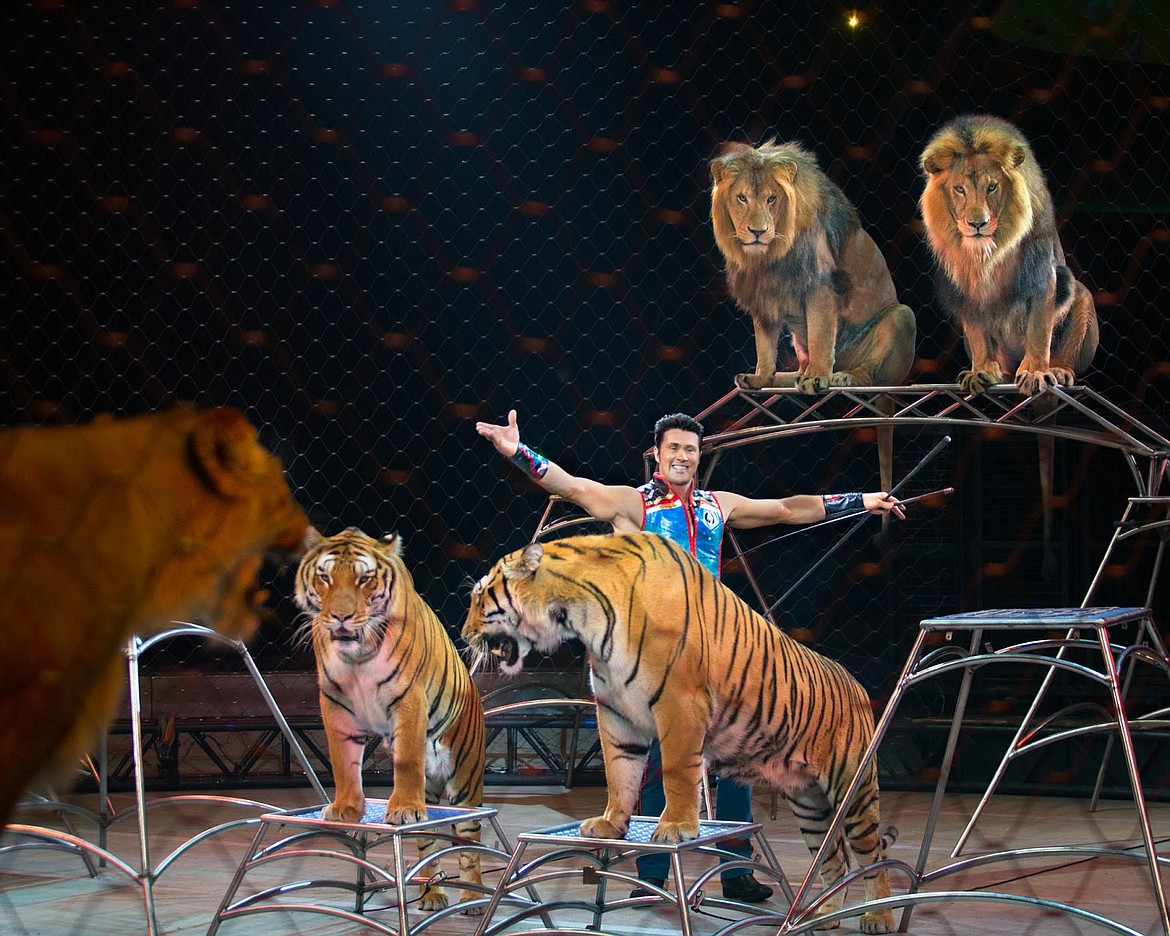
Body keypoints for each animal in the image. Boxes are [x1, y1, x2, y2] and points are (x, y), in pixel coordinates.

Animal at [299, 526, 491, 912]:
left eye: (364, 579)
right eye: (325, 577)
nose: (341, 616)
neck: (357, 657)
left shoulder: (409, 697)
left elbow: (407, 760)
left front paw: (402, 809)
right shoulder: (333, 701)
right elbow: (342, 761)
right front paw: (345, 808)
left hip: (465, 782)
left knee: (469, 843)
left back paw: (473, 896)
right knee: (427, 845)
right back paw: (431, 894)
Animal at [921, 114, 1095, 395]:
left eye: (992, 187)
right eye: (959, 189)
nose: (977, 223)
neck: (987, 252)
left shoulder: (1041, 274)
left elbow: (1038, 330)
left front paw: (1035, 372)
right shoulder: (966, 289)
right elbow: (978, 335)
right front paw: (981, 371)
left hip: (1082, 297)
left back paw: (1058, 370)